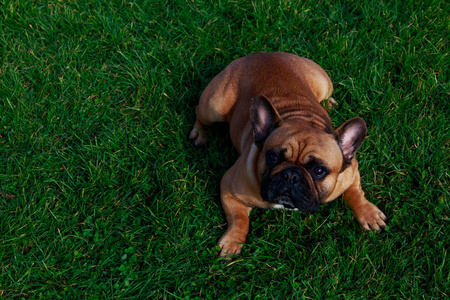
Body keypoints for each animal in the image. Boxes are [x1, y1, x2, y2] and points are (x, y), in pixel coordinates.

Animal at [190, 51, 386, 258]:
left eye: (318, 170)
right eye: (273, 157)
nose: (291, 175)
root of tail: (262, 54)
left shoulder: (351, 170)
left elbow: (355, 192)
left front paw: (368, 213)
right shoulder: (229, 187)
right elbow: (239, 219)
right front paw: (232, 242)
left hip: (325, 84)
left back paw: (329, 103)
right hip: (214, 107)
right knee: (199, 113)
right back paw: (199, 134)